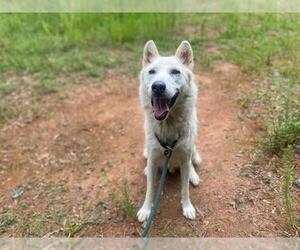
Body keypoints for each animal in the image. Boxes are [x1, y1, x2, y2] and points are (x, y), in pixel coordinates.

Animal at [138, 41, 202, 223]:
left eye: (175, 72)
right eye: (152, 72)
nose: (158, 86)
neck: (168, 125)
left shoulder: (185, 156)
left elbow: (184, 189)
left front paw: (187, 207)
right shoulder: (153, 159)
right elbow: (150, 190)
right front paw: (146, 210)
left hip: (191, 150)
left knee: (191, 163)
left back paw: (193, 176)